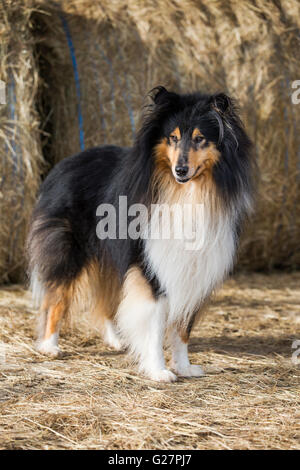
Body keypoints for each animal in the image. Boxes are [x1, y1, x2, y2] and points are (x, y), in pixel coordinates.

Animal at [27, 87, 253, 382]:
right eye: (173, 138)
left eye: (200, 138)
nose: (180, 170)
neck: (186, 192)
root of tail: (64, 163)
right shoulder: (150, 265)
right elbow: (155, 324)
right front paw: (159, 370)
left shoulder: (194, 270)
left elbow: (183, 327)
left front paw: (184, 367)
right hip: (68, 252)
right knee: (55, 299)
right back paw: (49, 345)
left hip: (110, 257)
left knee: (107, 301)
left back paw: (117, 339)